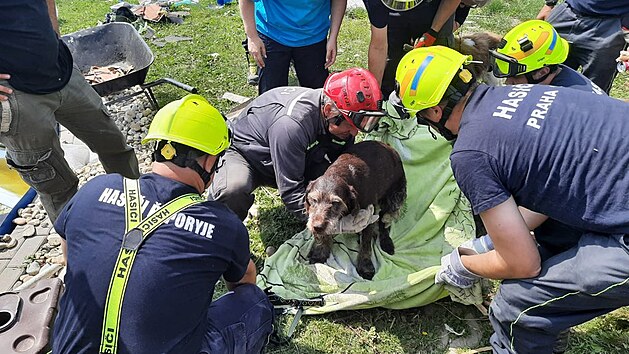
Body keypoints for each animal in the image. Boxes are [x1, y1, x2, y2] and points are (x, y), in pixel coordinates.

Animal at [306, 140, 408, 280]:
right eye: (314, 200)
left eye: (335, 203)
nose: (317, 227)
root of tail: (389, 147)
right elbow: (324, 236)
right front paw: (320, 252)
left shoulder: (369, 217)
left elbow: (366, 243)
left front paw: (365, 267)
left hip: (394, 199)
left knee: (384, 220)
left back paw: (386, 241)